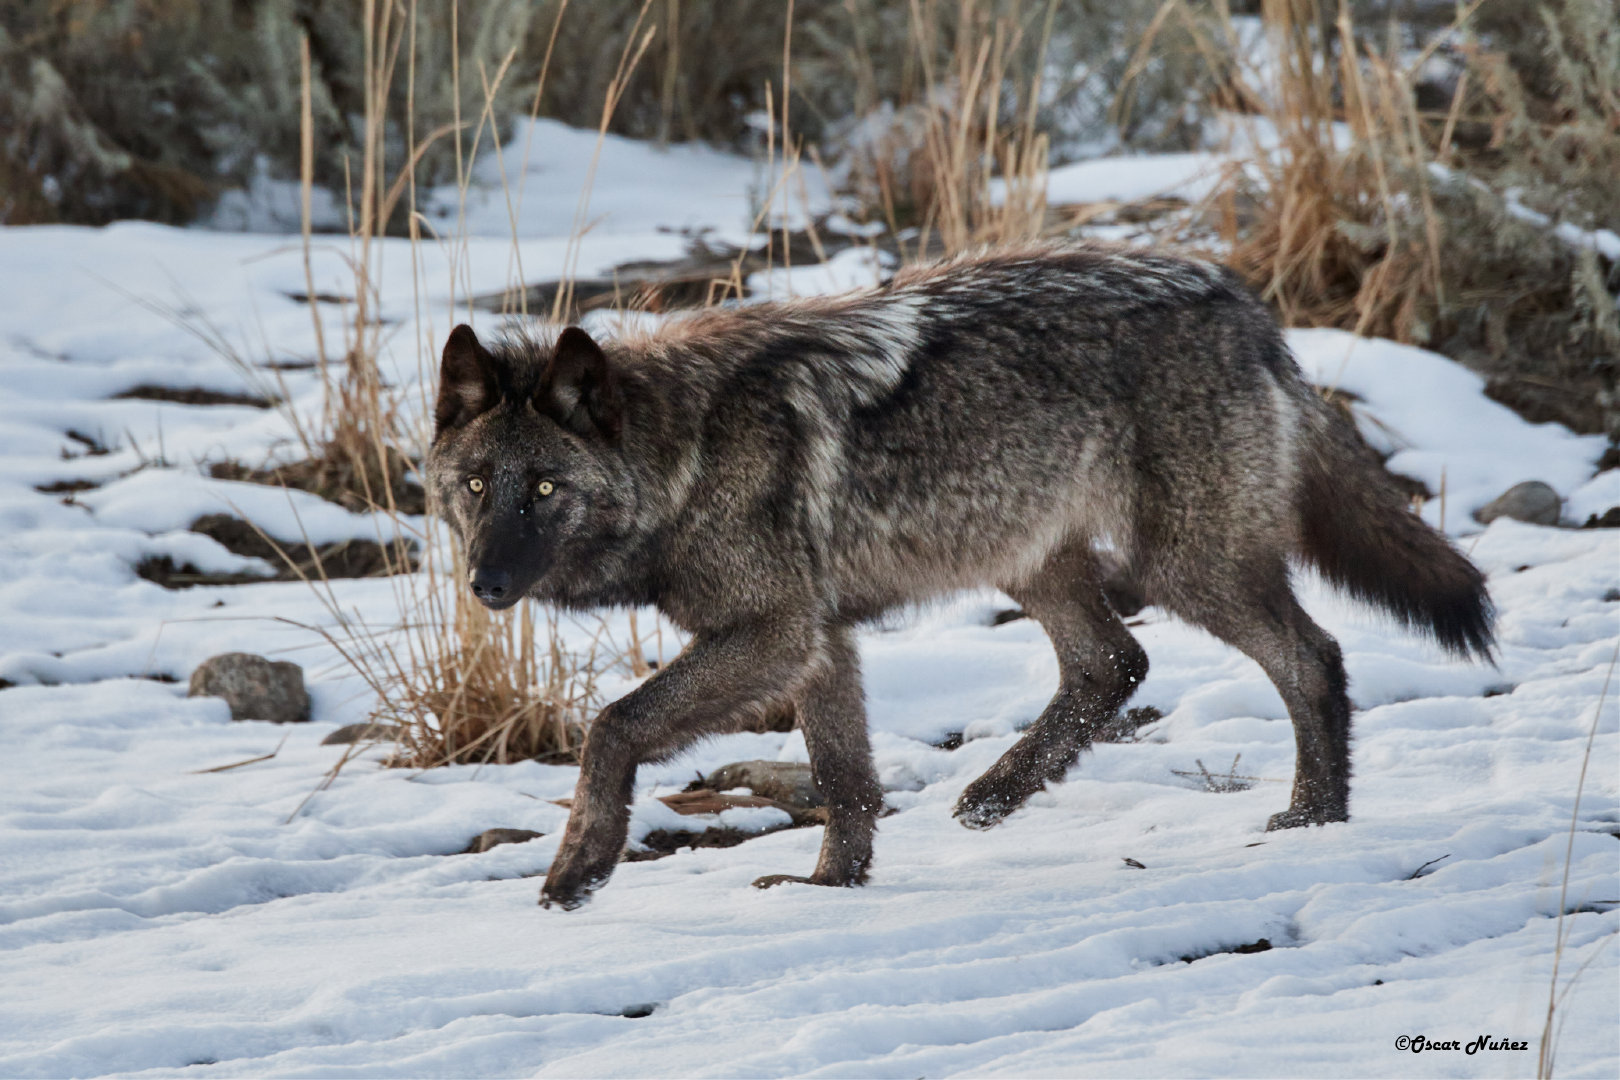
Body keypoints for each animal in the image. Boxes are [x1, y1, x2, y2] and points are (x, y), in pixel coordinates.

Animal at [427, 241, 1490, 906]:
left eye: (546, 487)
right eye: (477, 486)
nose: (486, 585)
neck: (683, 453)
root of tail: (1243, 305)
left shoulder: (774, 631)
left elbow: (613, 727)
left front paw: (578, 872)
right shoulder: (820, 642)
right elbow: (846, 778)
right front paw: (829, 889)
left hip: (1187, 567)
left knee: (1312, 657)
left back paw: (1314, 819)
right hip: (1034, 560)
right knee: (1114, 665)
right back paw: (993, 796)